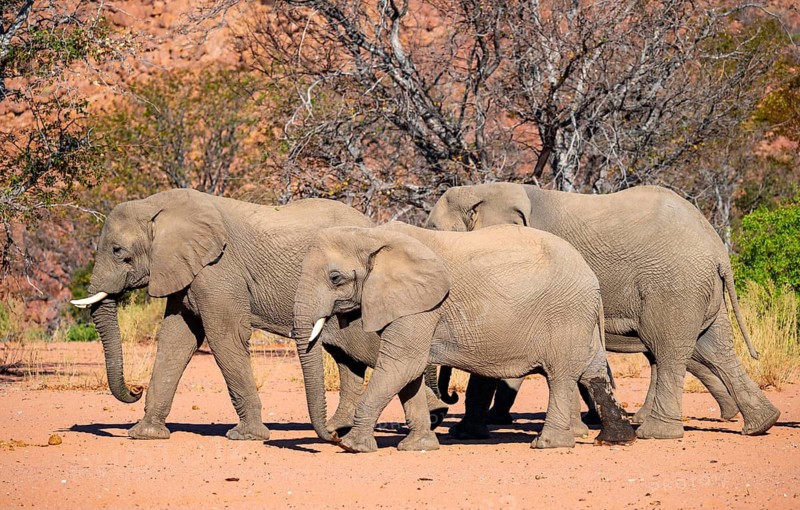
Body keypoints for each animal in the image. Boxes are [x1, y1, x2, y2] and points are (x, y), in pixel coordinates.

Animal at [70, 188, 447, 442]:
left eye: (119, 252)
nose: (133, 391)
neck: (160, 207)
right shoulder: (186, 270)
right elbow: (177, 339)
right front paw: (146, 434)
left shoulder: (219, 270)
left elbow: (224, 336)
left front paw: (247, 436)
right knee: (350, 355)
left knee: (370, 348)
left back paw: (435, 414)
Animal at [292, 221, 637, 452]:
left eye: (335, 278)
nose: (332, 435)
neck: (373, 235)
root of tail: (590, 276)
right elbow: (409, 372)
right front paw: (418, 447)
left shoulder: (422, 305)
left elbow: (402, 364)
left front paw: (353, 446)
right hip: (578, 316)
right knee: (592, 372)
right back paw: (616, 439)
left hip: (565, 313)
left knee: (561, 376)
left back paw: (549, 444)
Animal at [426, 182, 780, 439]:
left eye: (435, 230)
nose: (445, 405)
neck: (487, 188)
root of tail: (717, 250)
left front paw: (464, 433)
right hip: (701, 290)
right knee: (716, 349)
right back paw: (761, 424)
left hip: (674, 287)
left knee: (669, 350)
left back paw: (656, 433)